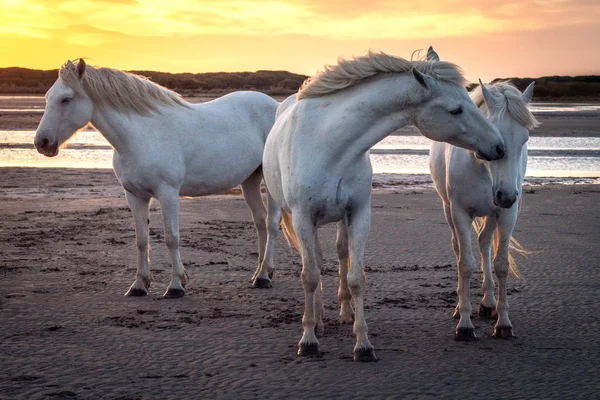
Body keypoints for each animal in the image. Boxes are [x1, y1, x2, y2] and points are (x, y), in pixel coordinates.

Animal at [36, 58, 280, 296]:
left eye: (66, 99)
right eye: (47, 97)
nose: (41, 143)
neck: (141, 136)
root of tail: (276, 107)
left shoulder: (168, 193)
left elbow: (171, 237)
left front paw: (176, 285)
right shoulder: (134, 195)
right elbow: (141, 240)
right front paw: (138, 285)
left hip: (269, 183)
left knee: (271, 222)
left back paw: (264, 276)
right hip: (250, 180)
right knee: (259, 221)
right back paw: (259, 273)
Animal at [258, 48, 506, 360]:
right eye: (456, 110)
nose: (499, 147)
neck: (329, 144)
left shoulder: (358, 214)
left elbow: (356, 277)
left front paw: (363, 344)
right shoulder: (303, 217)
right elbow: (310, 275)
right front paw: (308, 340)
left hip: (339, 220)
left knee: (340, 254)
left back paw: (344, 312)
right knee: (315, 261)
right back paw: (318, 321)